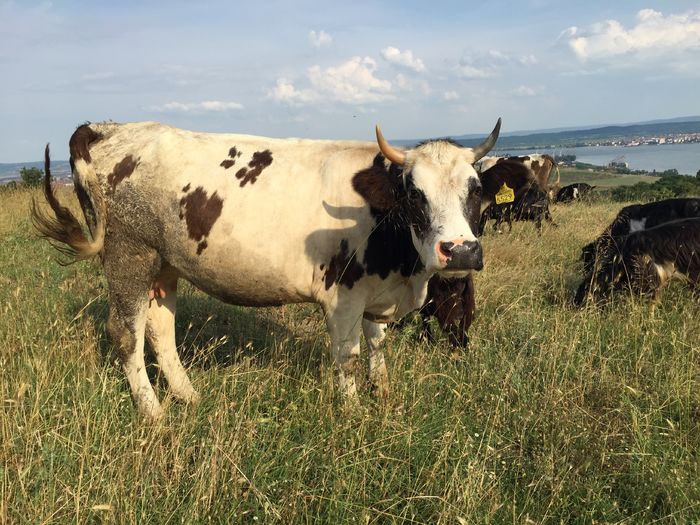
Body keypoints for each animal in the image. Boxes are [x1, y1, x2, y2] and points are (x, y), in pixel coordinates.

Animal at [32, 118, 506, 418]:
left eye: (475, 189)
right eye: (414, 193)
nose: (459, 251)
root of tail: (110, 127)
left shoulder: (377, 291)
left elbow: (377, 346)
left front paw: (384, 395)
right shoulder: (343, 297)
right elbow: (348, 357)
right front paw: (354, 412)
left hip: (164, 265)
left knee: (159, 329)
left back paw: (188, 396)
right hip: (129, 254)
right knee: (125, 333)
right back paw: (152, 413)